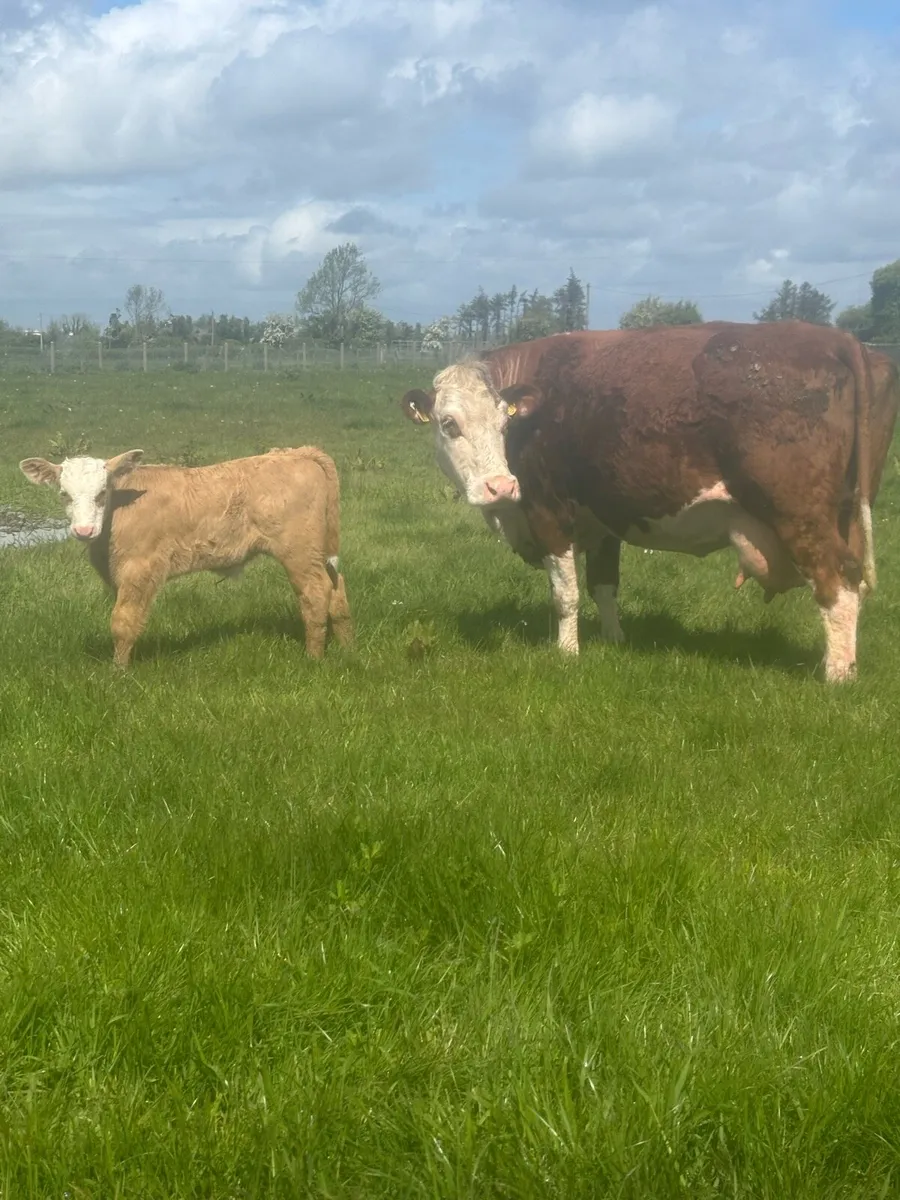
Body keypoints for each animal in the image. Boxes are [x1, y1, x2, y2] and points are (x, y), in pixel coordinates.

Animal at [19, 445, 354, 666]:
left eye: (102, 493)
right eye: (64, 494)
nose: (84, 530)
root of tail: (297, 452)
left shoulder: (139, 569)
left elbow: (123, 621)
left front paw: (119, 673)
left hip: (299, 553)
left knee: (315, 593)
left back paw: (313, 658)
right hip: (320, 553)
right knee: (337, 591)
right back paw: (347, 647)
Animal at [402, 323, 897, 682]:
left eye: (504, 426)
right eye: (449, 424)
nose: (500, 486)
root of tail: (833, 337)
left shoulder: (548, 513)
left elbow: (566, 594)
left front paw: (567, 651)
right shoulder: (602, 520)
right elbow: (604, 585)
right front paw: (614, 638)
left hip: (801, 515)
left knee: (837, 582)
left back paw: (837, 674)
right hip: (849, 512)